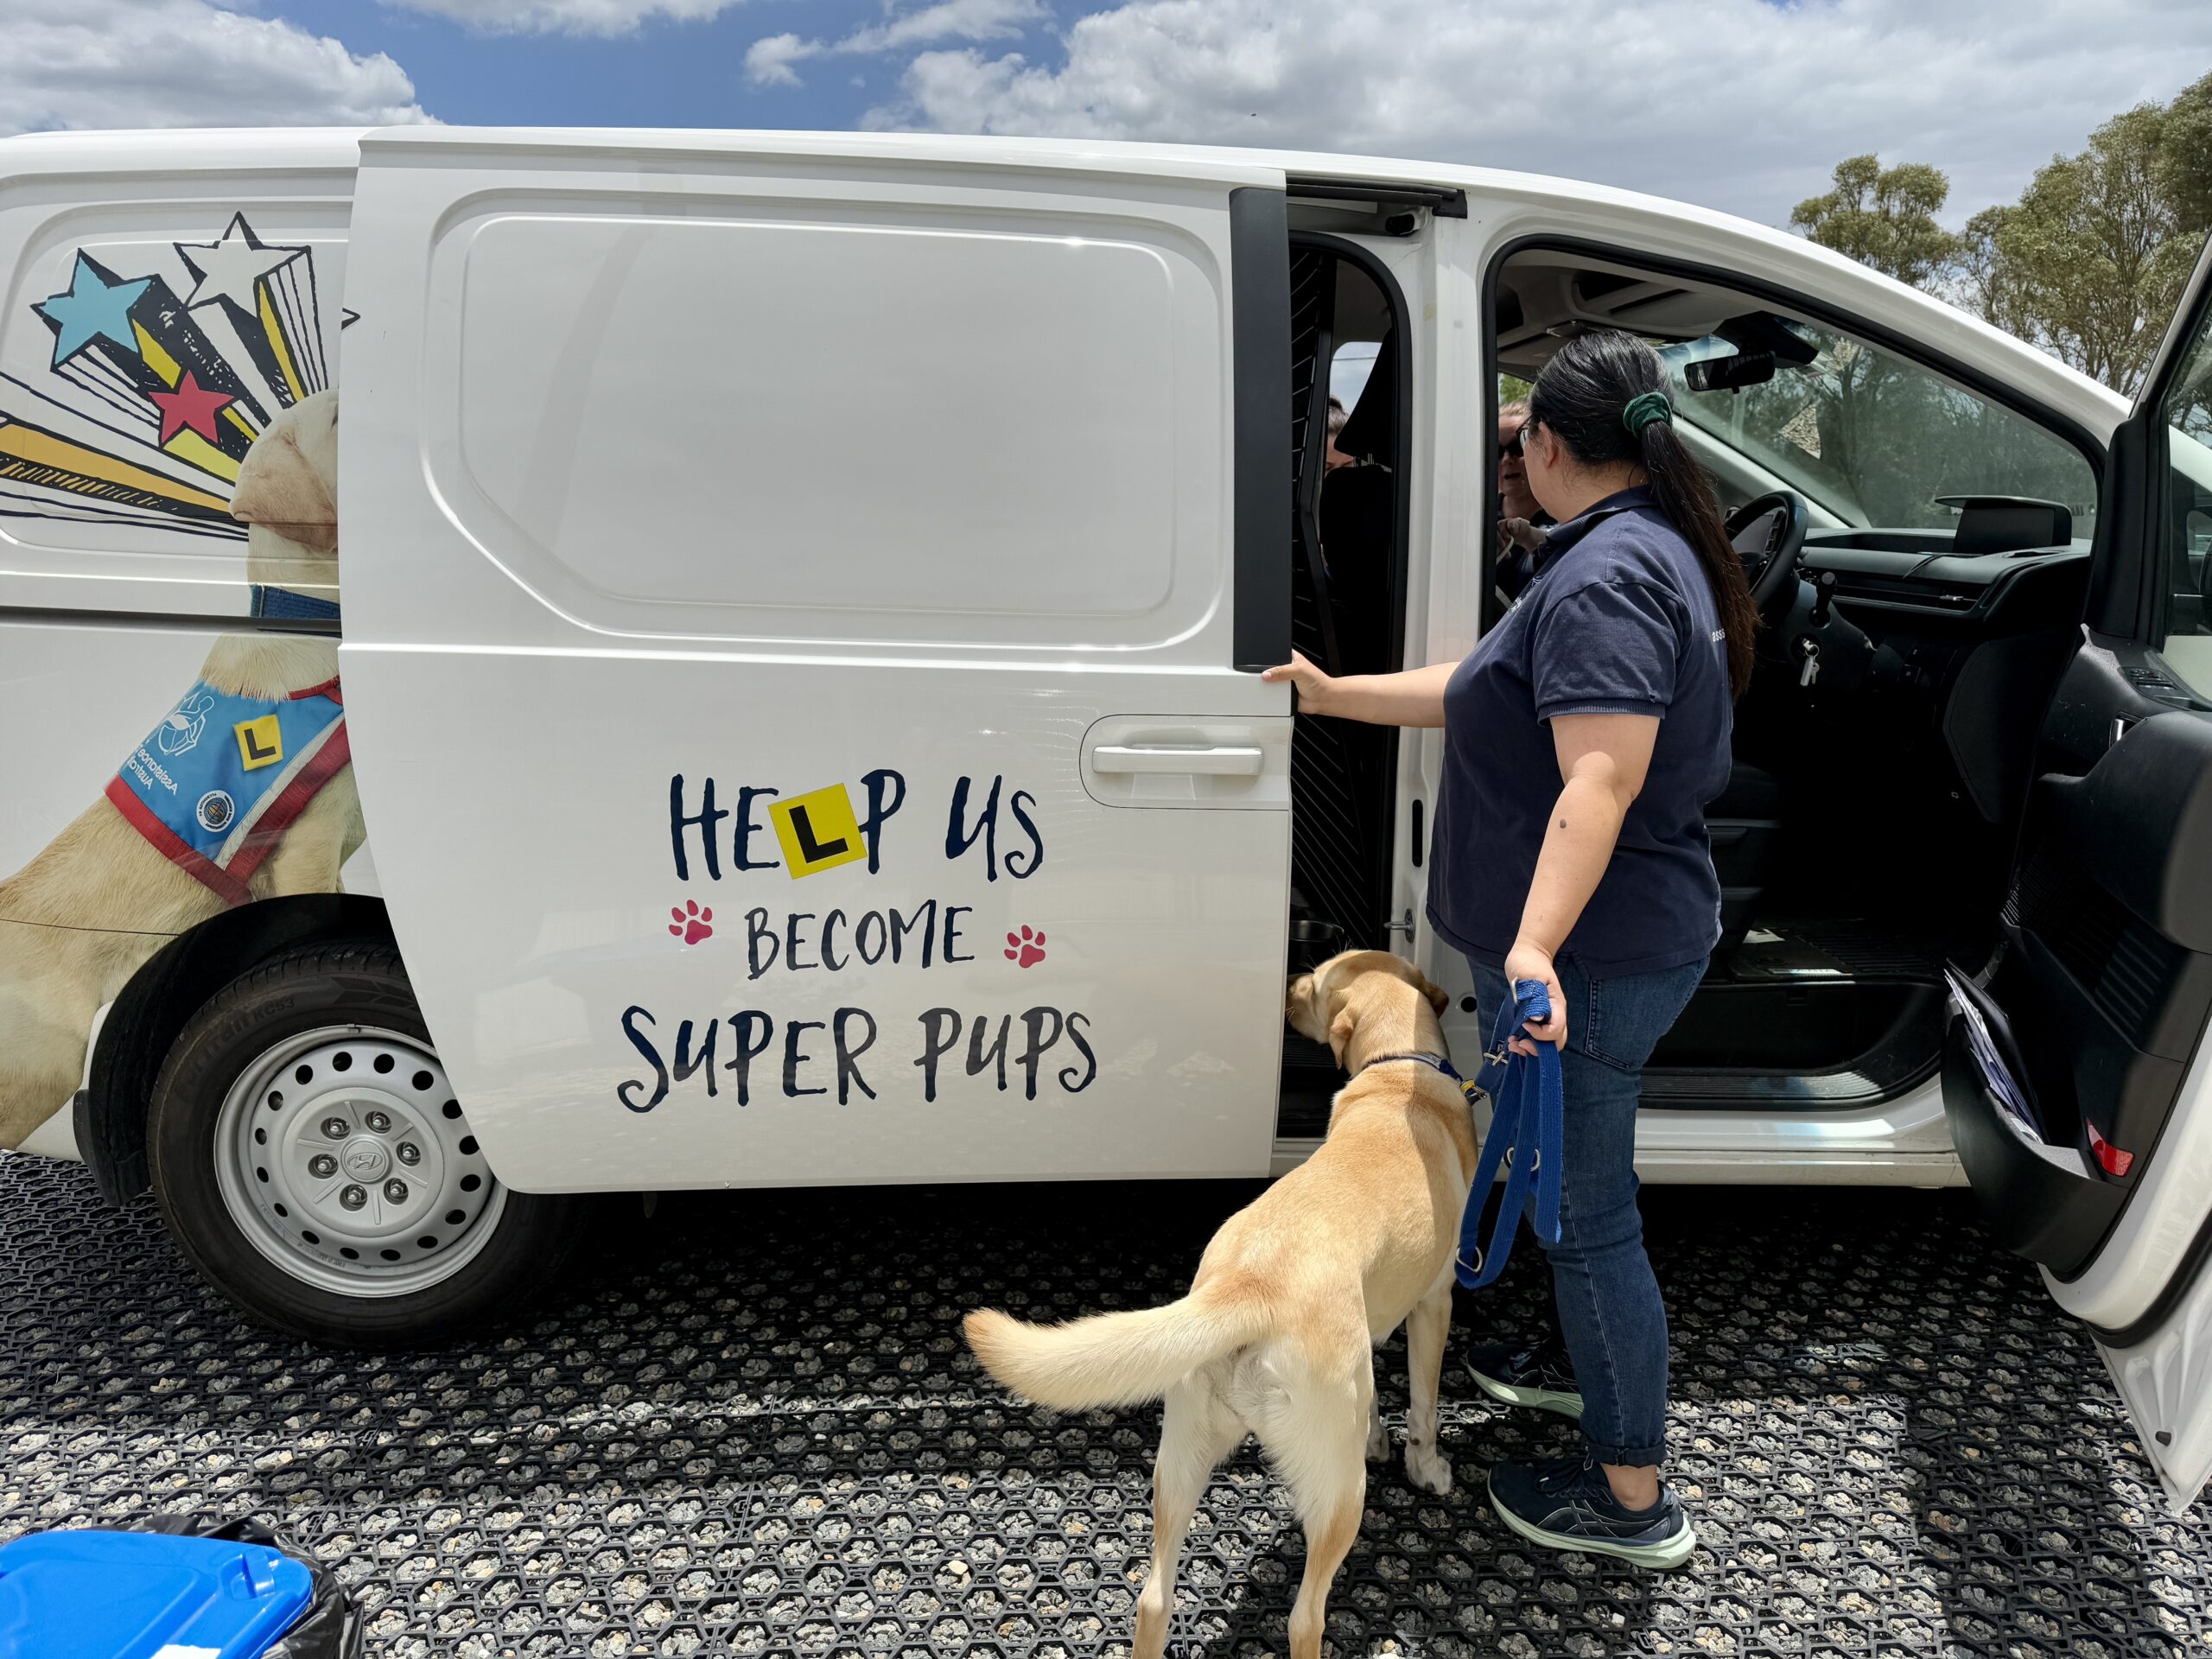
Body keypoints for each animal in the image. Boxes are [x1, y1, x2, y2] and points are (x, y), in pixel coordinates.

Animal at [964, 946, 1468, 1659]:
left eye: (1315, 985)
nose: (1288, 985)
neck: (1399, 1071)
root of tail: (1251, 1285)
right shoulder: (1436, 1299)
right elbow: (1424, 1402)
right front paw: (1427, 1468)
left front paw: (1381, 1438)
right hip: (1338, 1492)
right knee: (1304, 1617)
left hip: (1180, 1457)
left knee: (1153, 1599)